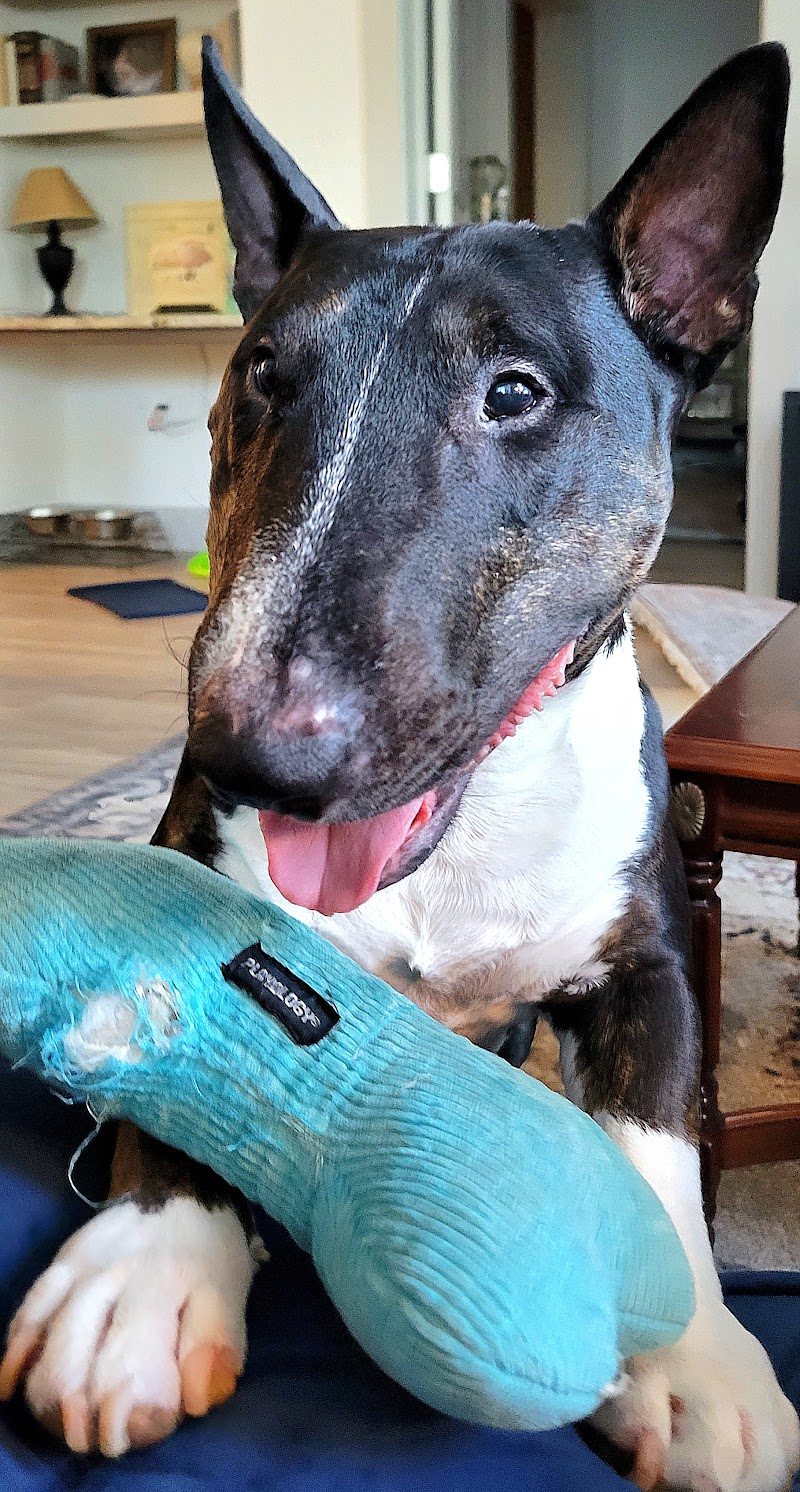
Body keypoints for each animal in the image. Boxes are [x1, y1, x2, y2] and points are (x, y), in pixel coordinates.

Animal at [3, 35, 794, 1492]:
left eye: (515, 392)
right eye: (260, 374)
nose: (249, 752)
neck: (458, 839)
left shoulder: (653, 963)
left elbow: (660, 1151)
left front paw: (700, 1365)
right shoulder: (189, 885)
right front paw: (144, 1271)